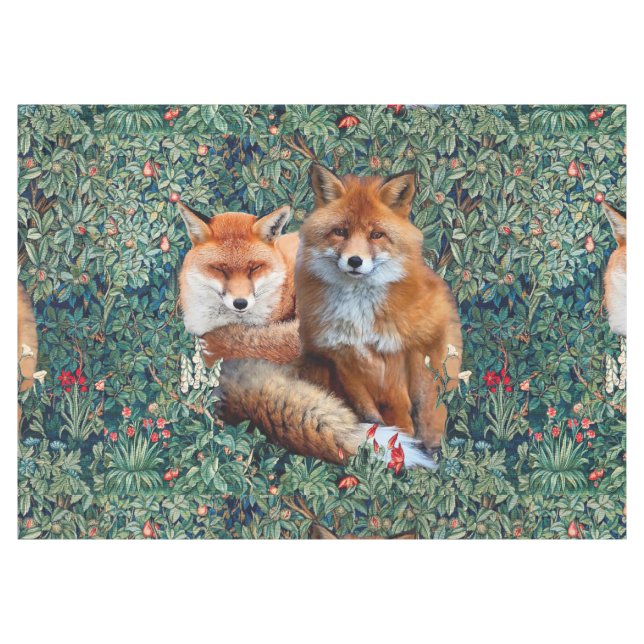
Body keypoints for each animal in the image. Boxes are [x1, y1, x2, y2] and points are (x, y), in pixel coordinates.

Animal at [216, 165, 462, 468]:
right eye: (340, 232)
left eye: (376, 235)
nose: (355, 261)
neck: (360, 316)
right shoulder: (340, 357)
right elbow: (370, 413)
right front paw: (385, 443)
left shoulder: (405, 351)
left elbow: (409, 408)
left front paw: (412, 444)